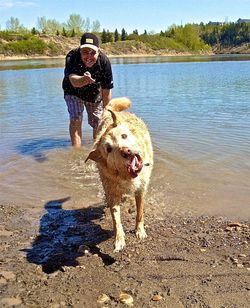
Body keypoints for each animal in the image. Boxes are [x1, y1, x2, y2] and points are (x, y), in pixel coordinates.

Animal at [85, 97, 153, 251]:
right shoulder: (112, 193)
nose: (126, 151)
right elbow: (116, 219)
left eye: (124, 136)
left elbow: (140, 213)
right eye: (109, 149)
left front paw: (140, 230)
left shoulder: (141, 189)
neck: (127, 176)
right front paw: (119, 239)